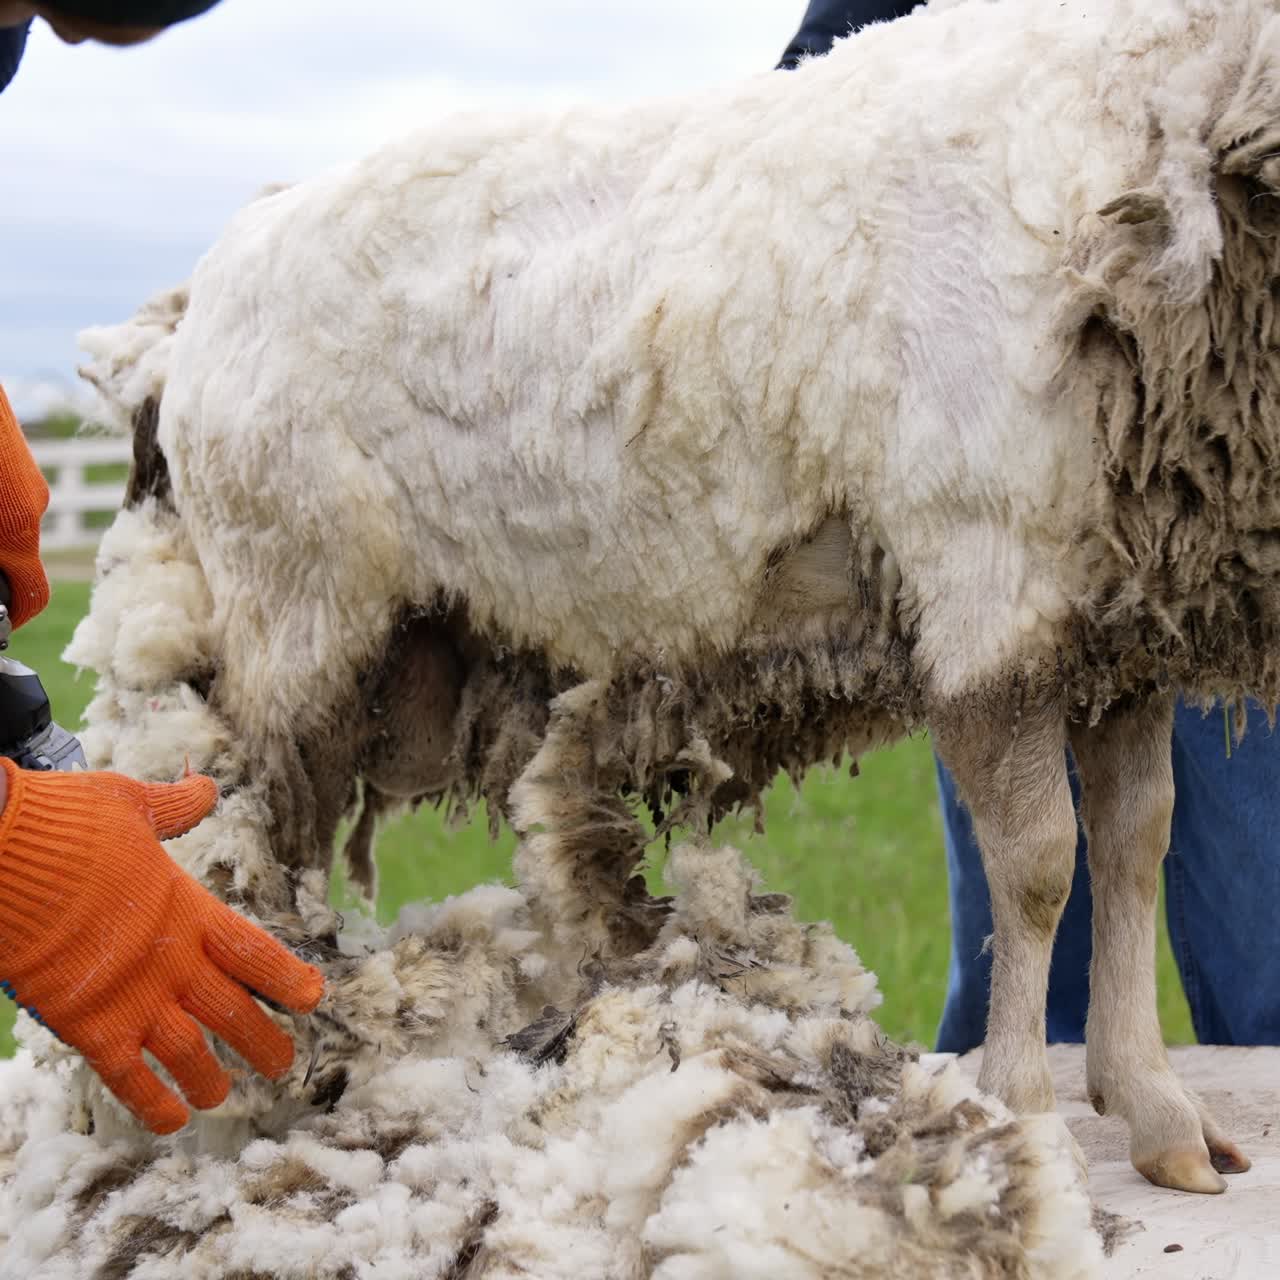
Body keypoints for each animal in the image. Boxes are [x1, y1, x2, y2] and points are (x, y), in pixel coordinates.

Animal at [68, 0, 1280, 1201]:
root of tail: (194, 301)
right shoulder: (983, 575)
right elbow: (1036, 866)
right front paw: (1025, 1113)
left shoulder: (1113, 619)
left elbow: (1133, 841)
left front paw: (1156, 1109)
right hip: (295, 604)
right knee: (275, 844)